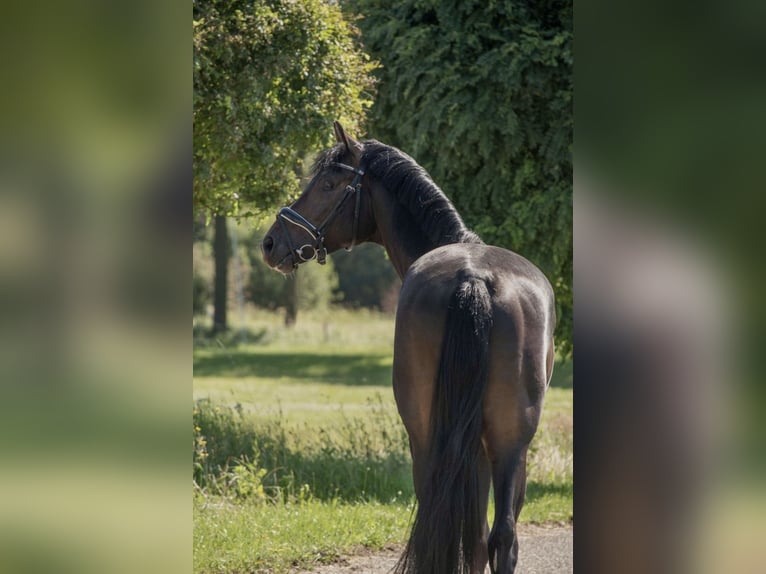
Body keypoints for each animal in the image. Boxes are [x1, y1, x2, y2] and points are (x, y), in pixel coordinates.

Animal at [260, 122, 556, 574]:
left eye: (328, 184)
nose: (271, 243)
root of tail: (474, 277)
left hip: (427, 434)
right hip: (510, 443)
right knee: (499, 536)